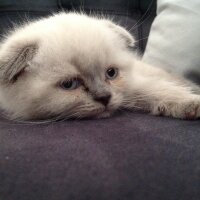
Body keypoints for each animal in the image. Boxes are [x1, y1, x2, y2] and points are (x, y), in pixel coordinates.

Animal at [0, 13, 199, 121]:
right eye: (69, 85)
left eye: (111, 73)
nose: (104, 98)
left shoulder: (132, 85)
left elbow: (157, 90)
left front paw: (192, 103)